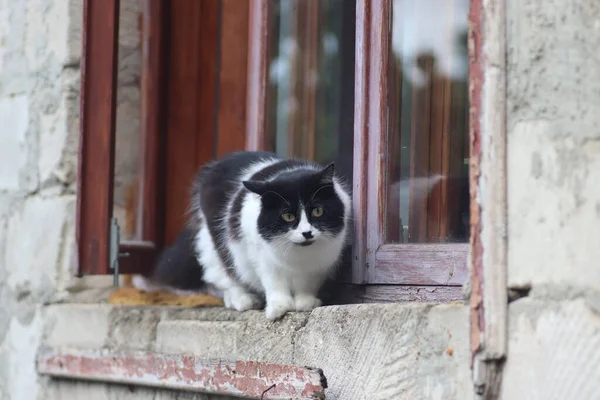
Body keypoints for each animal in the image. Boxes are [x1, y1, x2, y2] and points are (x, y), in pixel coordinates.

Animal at [134, 152, 352, 320]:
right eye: (288, 216)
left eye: (317, 211)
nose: (307, 232)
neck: (299, 256)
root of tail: (214, 166)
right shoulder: (262, 258)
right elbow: (274, 283)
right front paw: (278, 308)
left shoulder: (320, 266)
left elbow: (308, 285)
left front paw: (304, 302)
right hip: (217, 246)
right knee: (225, 276)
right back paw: (242, 300)